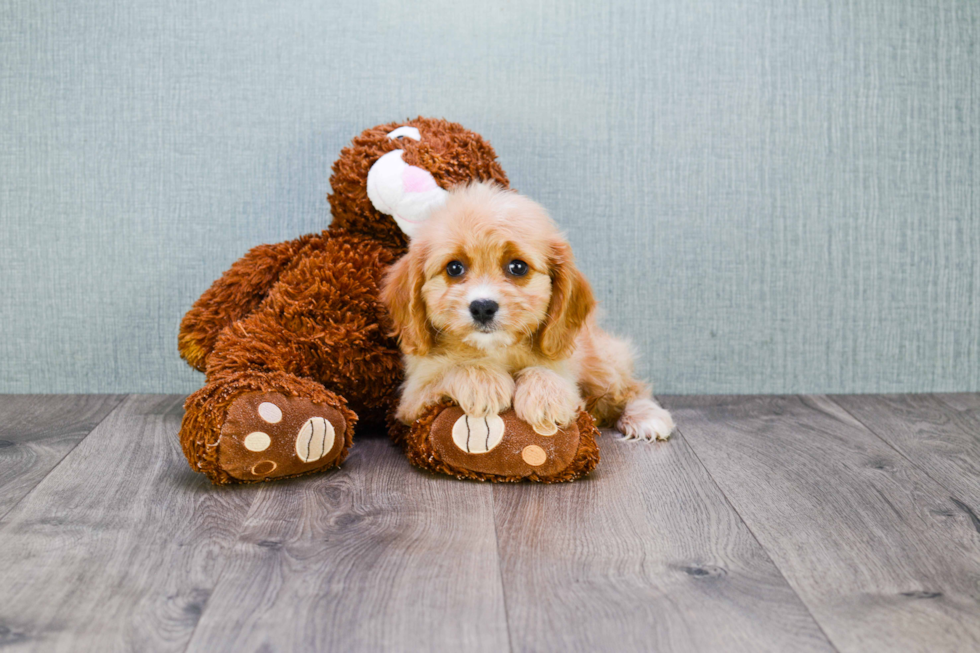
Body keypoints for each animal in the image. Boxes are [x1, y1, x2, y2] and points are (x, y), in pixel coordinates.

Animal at [380, 181, 672, 440]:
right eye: (454, 268)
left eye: (517, 267)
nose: (483, 307)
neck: (496, 351)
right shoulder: (411, 400)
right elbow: (451, 371)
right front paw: (483, 382)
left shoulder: (567, 374)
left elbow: (547, 374)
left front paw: (546, 396)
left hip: (602, 363)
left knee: (630, 388)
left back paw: (647, 416)